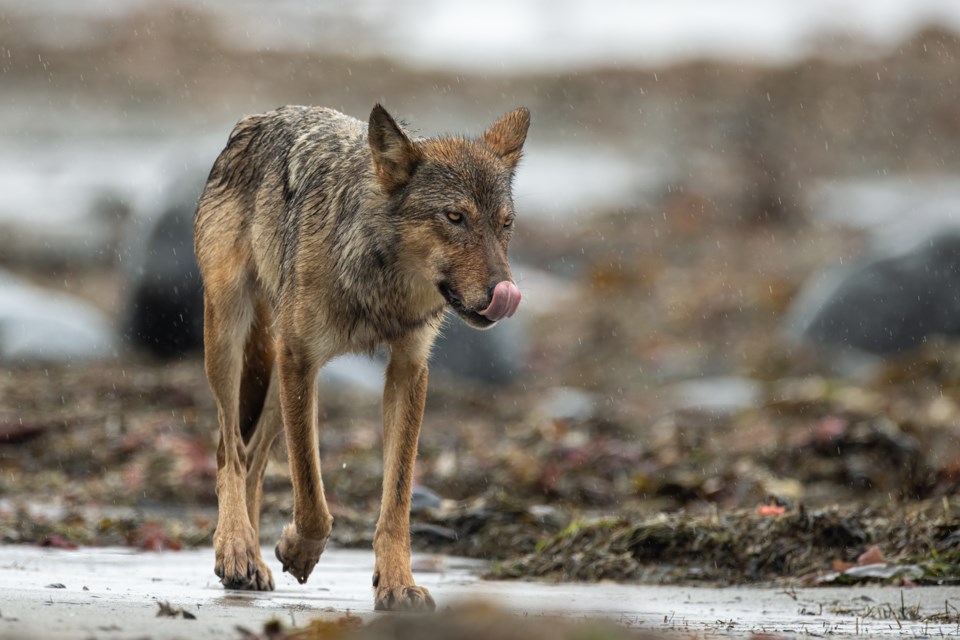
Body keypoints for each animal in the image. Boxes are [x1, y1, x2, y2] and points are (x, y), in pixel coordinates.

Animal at [191, 104, 528, 608]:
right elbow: (312, 498)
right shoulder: (301, 359)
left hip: (275, 386)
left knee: (252, 458)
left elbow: (397, 500)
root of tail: (254, 121)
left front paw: (397, 583)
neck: (381, 282)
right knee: (228, 450)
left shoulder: (408, 370)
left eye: (505, 224)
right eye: (455, 217)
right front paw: (298, 551)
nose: (504, 293)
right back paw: (235, 549)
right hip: (231, 338)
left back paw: (251, 561)